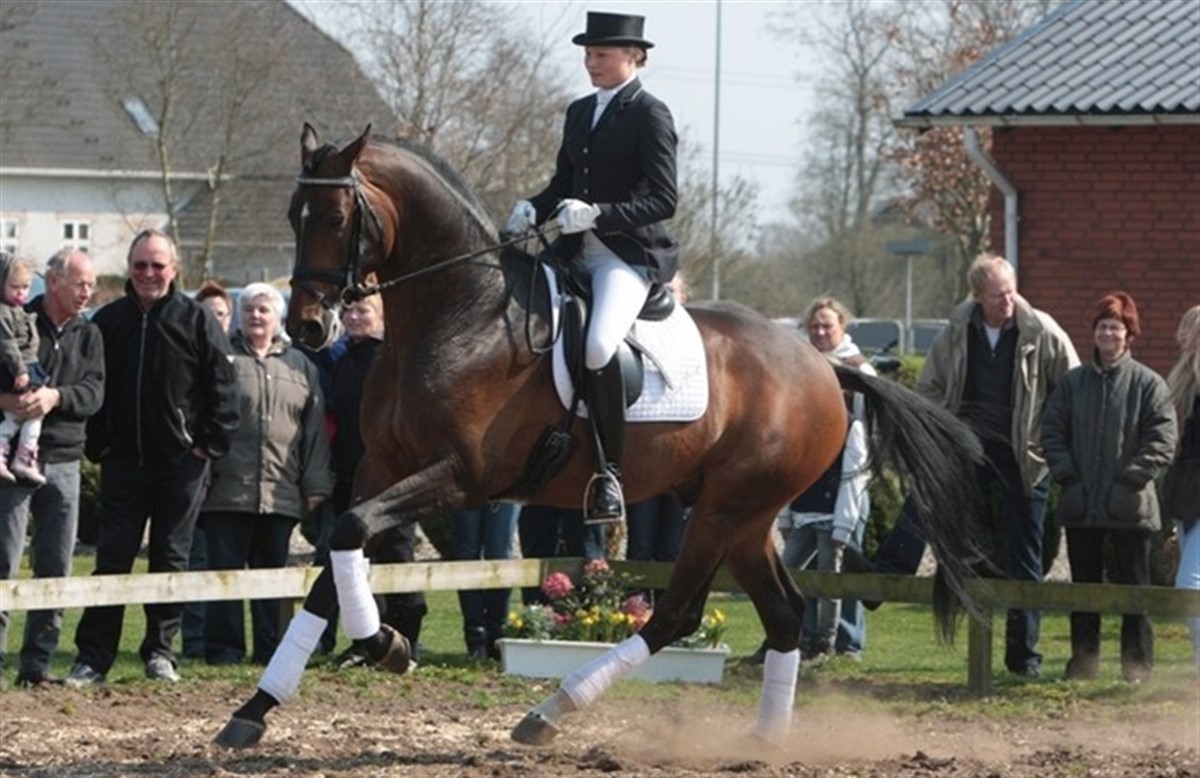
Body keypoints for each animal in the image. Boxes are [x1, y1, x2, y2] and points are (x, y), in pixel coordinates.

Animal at [214, 124, 985, 749]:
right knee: (785, 614)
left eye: (337, 215)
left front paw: (386, 643)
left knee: (676, 613)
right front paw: (254, 712)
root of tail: (824, 365)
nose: (307, 327)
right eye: (292, 214)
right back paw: (763, 740)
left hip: (725, 508)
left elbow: (346, 535)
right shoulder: (381, 468)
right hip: (745, 514)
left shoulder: (460, 479)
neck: (461, 315)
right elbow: (330, 566)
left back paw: (549, 711)